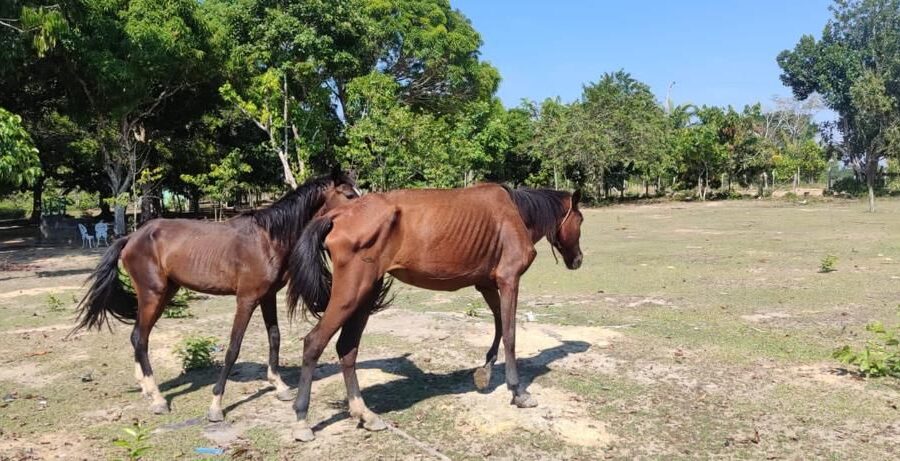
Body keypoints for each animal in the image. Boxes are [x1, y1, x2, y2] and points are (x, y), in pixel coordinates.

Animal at [72, 172, 358, 420]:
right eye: (348, 194)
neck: (267, 238)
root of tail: (131, 237)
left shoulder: (266, 297)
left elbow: (274, 337)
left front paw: (279, 385)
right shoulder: (246, 300)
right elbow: (233, 348)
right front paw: (216, 405)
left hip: (164, 294)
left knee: (139, 336)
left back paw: (145, 387)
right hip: (152, 294)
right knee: (139, 338)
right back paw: (157, 398)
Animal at [284, 181, 588, 440]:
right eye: (581, 220)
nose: (578, 260)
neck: (515, 212)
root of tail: (339, 213)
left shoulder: (487, 285)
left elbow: (500, 327)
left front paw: (485, 371)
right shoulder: (509, 280)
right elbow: (511, 334)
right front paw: (517, 392)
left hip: (365, 294)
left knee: (347, 348)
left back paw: (365, 414)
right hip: (350, 295)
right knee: (314, 343)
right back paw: (301, 420)